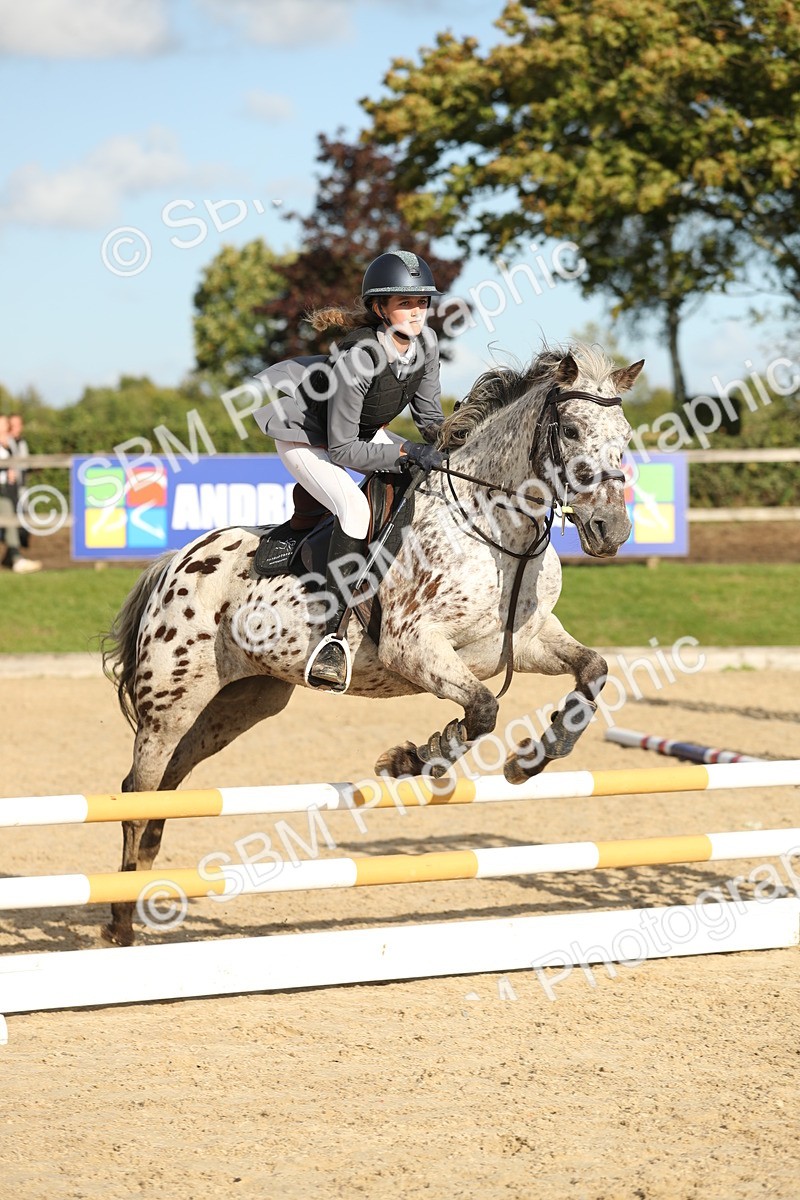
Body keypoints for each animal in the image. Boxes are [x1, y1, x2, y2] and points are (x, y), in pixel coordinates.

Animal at [102, 342, 641, 945]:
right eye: (569, 430)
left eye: (624, 434)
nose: (611, 529)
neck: (495, 531)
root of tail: (177, 560)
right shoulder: (412, 646)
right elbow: (482, 709)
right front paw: (416, 758)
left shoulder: (519, 643)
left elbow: (592, 670)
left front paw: (534, 759)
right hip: (170, 703)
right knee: (136, 789)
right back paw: (120, 922)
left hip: (239, 703)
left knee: (169, 783)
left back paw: (141, 891)